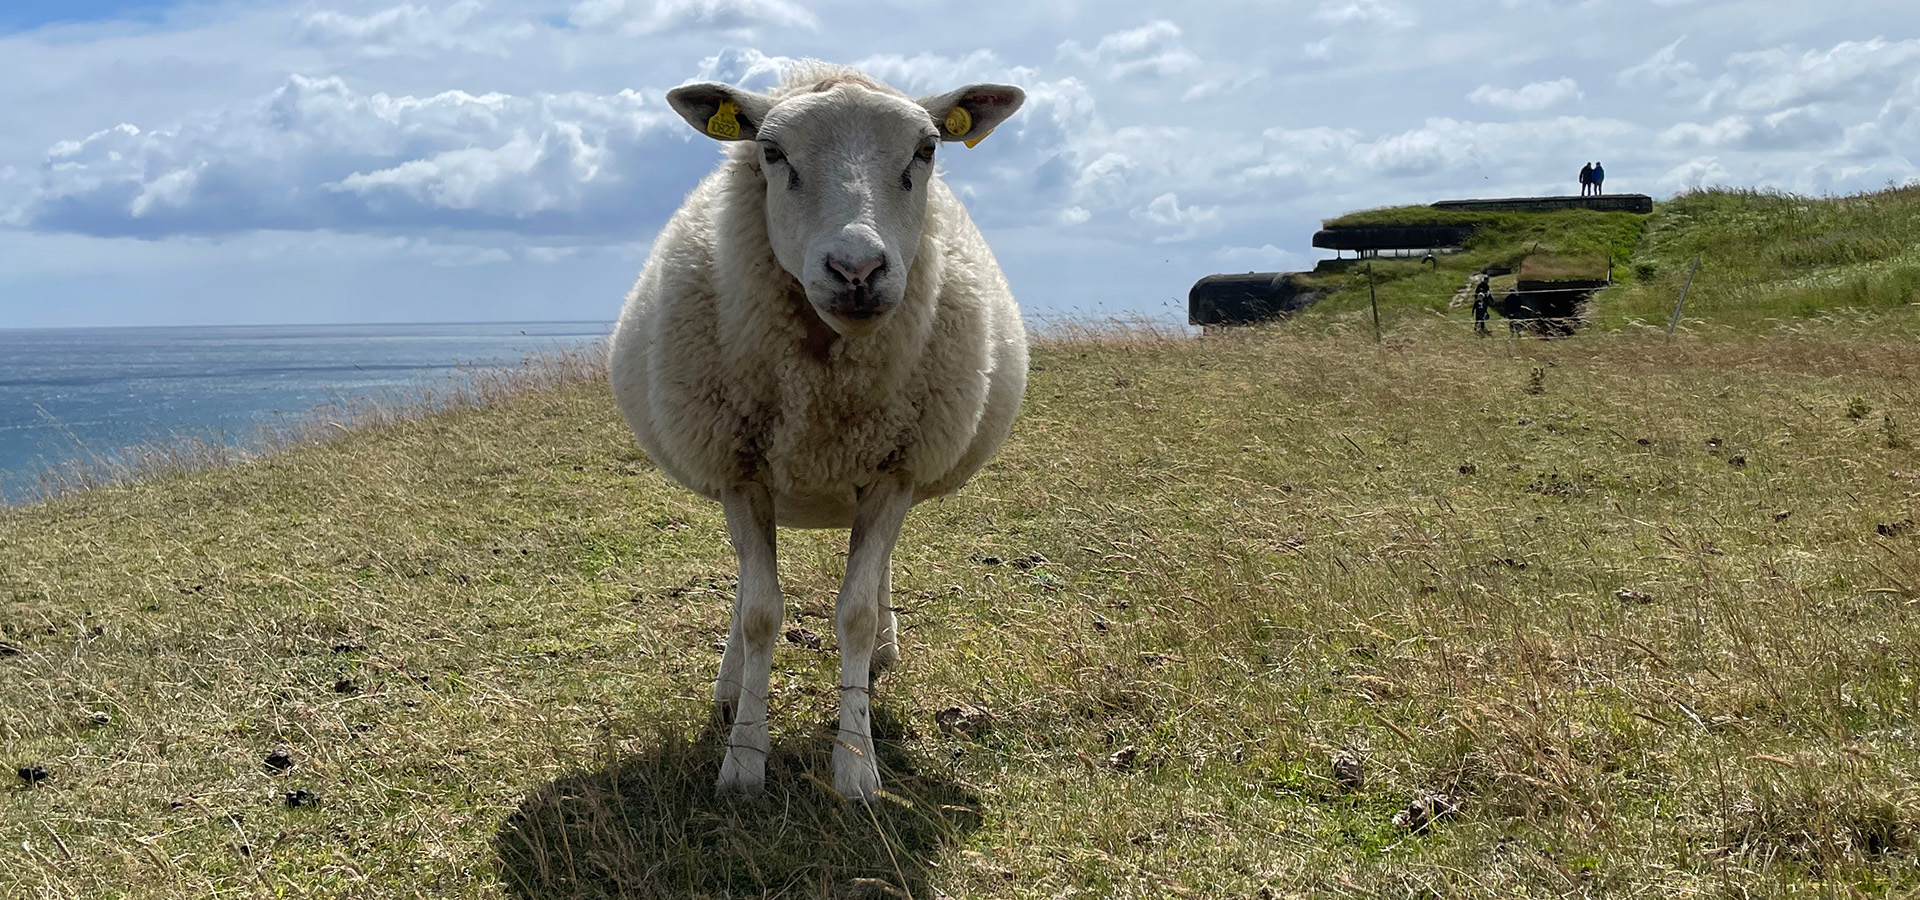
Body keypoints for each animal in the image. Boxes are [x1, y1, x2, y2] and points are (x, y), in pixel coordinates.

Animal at [606, 61, 1029, 798]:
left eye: (927, 150)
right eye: (771, 152)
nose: (856, 269)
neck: (826, 397)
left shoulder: (894, 471)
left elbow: (854, 614)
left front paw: (856, 768)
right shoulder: (741, 472)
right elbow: (759, 614)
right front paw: (744, 760)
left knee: (874, 574)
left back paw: (882, 650)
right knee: (750, 588)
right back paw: (730, 688)